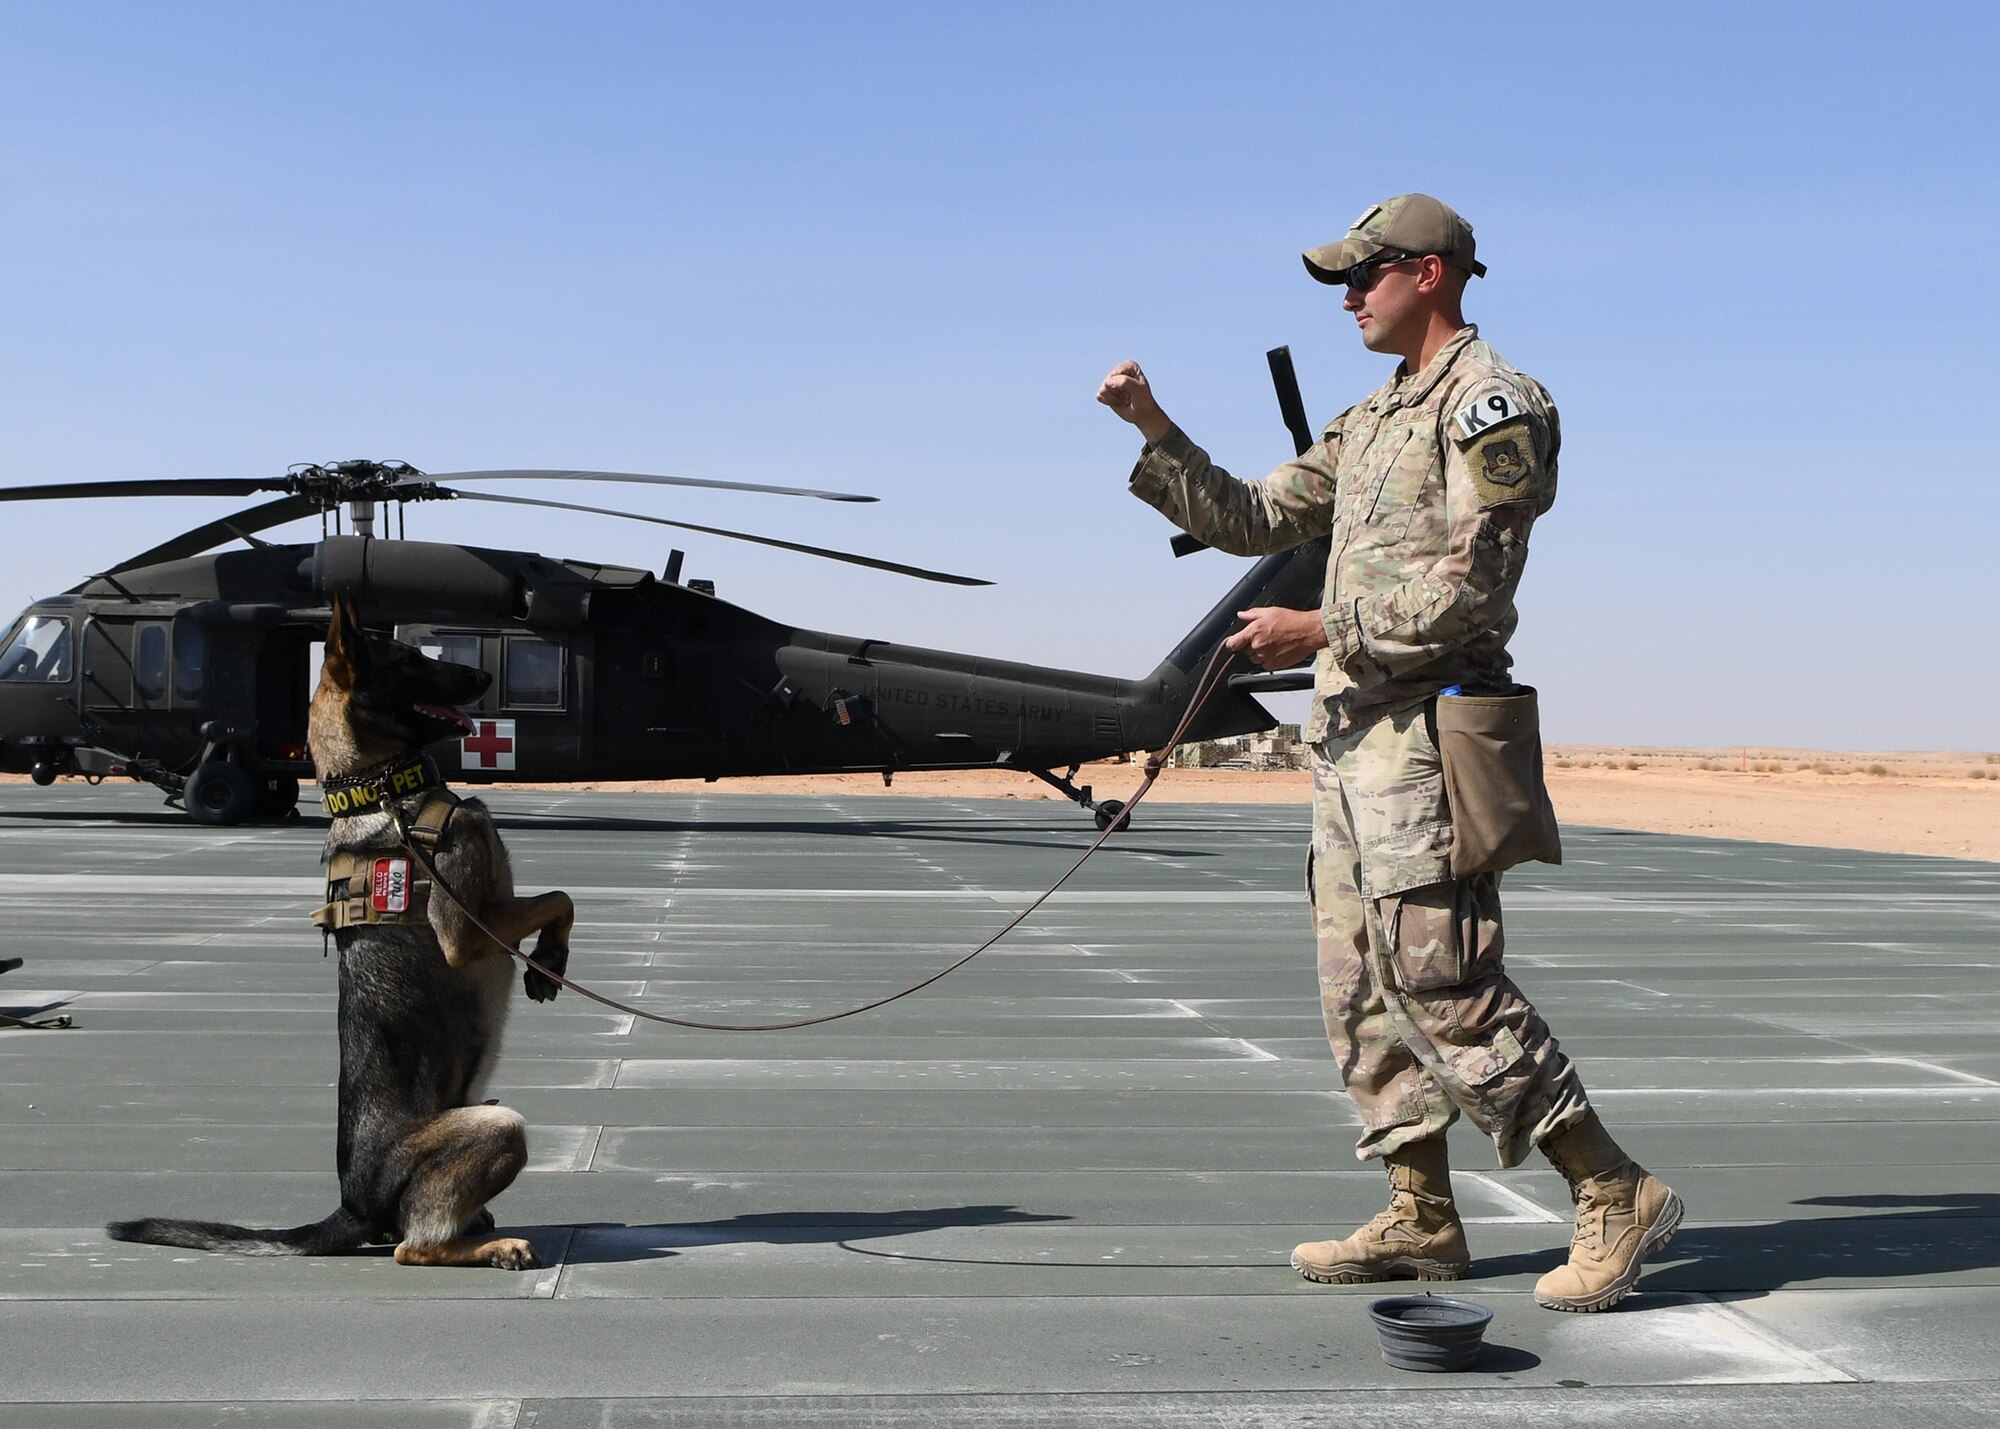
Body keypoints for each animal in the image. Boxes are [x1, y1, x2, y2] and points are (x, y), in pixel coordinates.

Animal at [108, 596, 576, 1264]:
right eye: (408, 661)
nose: (484, 676)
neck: (379, 789)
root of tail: (353, 1207)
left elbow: (558, 901)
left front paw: (551, 960)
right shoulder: (467, 928)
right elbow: (560, 897)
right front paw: (552, 957)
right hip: (499, 1123)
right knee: (414, 1247)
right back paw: (492, 1245)